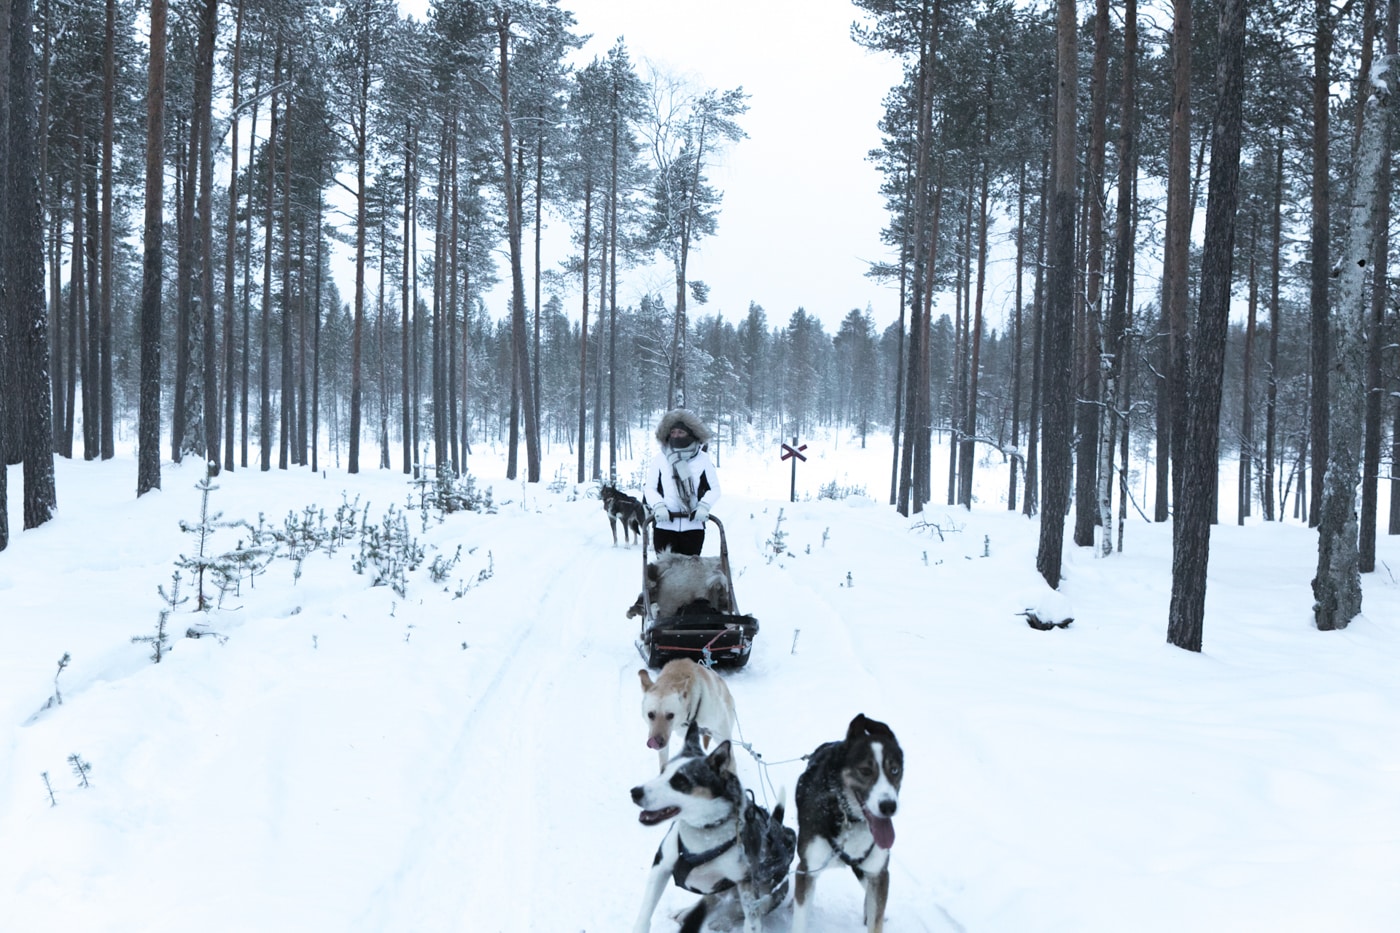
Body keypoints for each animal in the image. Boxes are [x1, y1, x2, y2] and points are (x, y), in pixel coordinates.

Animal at [630, 717, 795, 930]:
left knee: (741, 907)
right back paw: (687, 913)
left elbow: (752, 921)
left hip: (771, 891)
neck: (703, 831)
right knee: (711, 900)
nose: (635, 792)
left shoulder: (748, 883)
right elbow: (645, 912)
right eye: (663, 772)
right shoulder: (661, 865)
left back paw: (722, 921)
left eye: (680, 781)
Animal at [795, 711, 901, 930]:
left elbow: (876, 920)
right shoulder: (807, 870)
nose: (889, 806)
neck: (850, 820)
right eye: (866, 771)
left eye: (894, 770)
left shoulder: (879, 872)